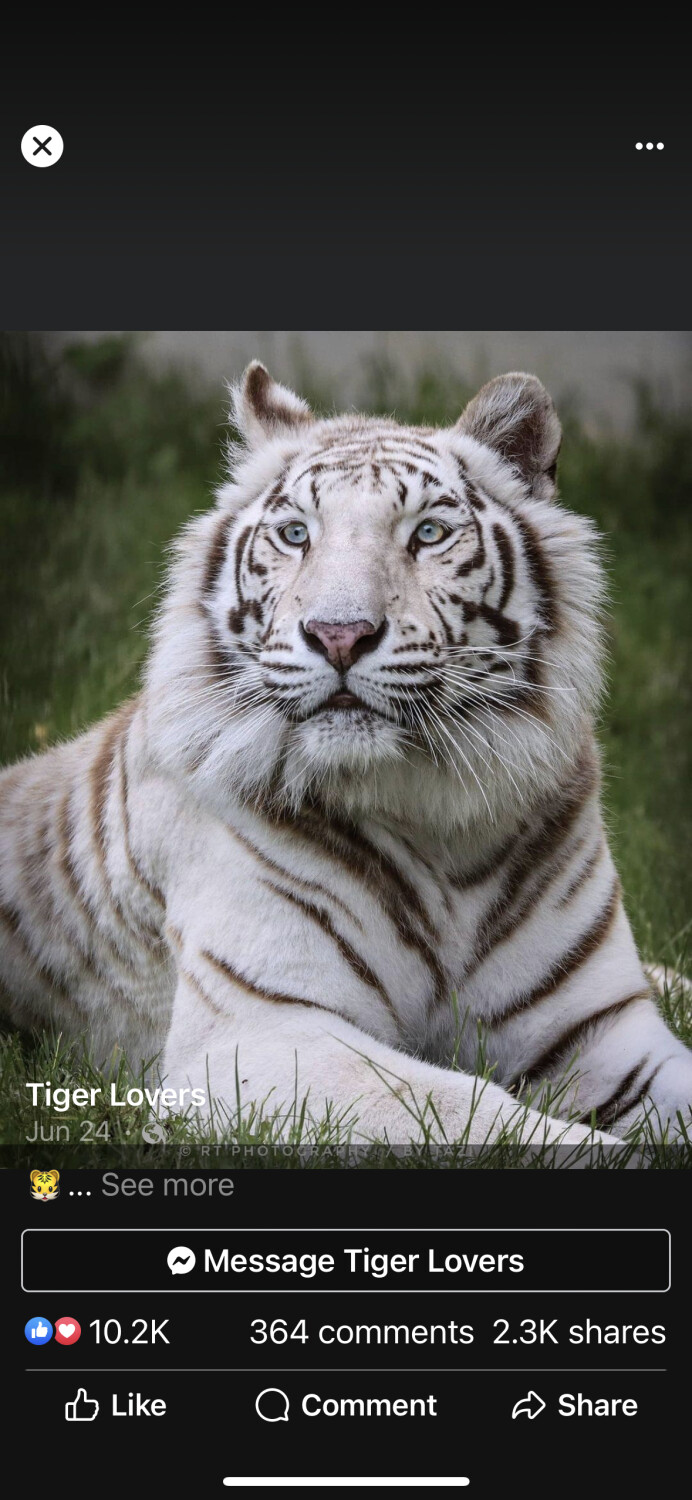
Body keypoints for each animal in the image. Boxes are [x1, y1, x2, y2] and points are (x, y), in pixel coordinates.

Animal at [1, 362, 691, 1149]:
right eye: (296, 534)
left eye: (428, 533)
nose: (338, 634)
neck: (436, 814)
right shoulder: (258, 1034)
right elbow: (472, 1110)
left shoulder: (599, 1030)